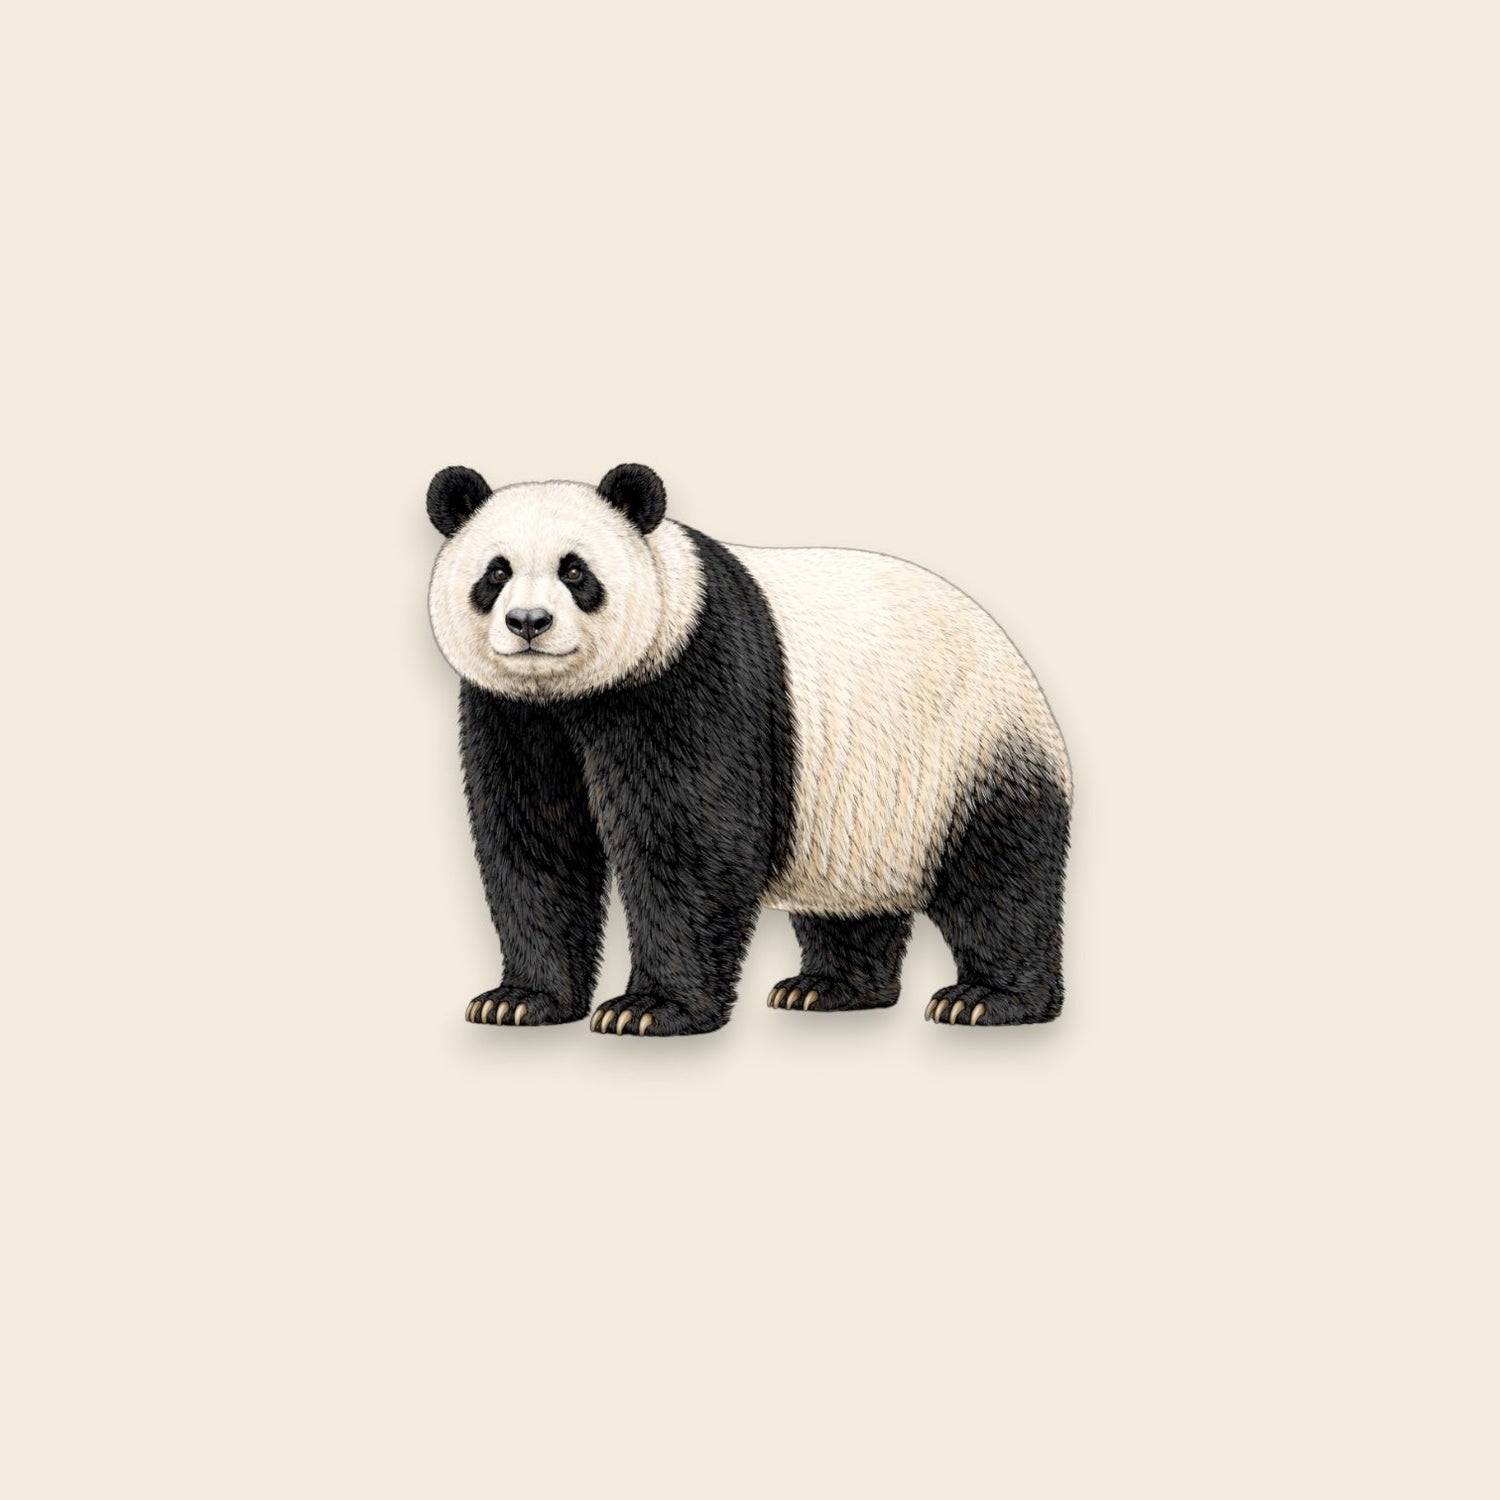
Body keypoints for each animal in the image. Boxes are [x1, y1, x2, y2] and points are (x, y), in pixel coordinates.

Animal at [426, 462, 1070, 1037]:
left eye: (575, 570)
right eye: (496, 572)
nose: (528, 622)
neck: (571, 694)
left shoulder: (692, 673)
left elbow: (688, 841)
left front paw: (648, 1011)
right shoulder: (513, 715)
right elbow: (536, 839)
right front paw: (519, 1001)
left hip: (973, 752)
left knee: (1000, 878)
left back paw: (985, 1000)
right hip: (862, 810)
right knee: (854, 904)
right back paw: (828, 989)